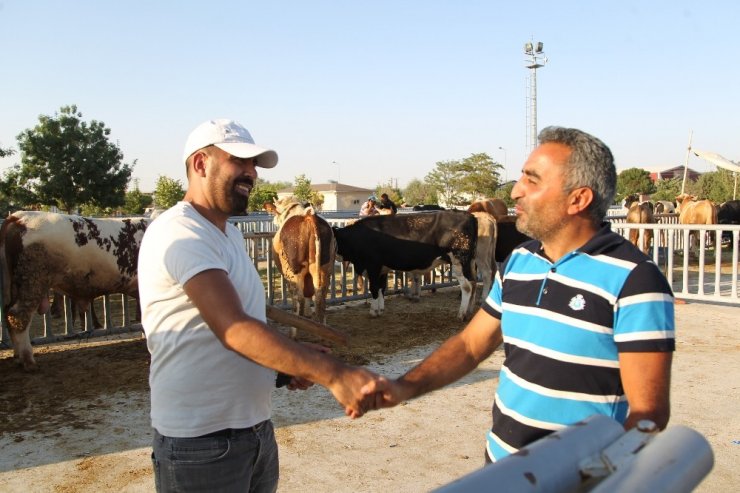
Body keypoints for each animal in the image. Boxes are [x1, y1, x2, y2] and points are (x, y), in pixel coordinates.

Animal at [0, 210, 149, 368]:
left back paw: (18, 356)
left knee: (8, 314)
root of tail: (19, 217)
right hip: (32, 282)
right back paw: (28, 360)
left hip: (15, 286)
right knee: (18, 315)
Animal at [264, 196, 336, 334]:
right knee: (320, 298)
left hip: (293, 271)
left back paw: (294, 332)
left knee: (299, 299)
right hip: (324, 268)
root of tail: (308, 216)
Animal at [330, 210, 480, 320]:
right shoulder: (382, 269)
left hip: (459, 261)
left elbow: (374, 288)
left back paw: (461, 314)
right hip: (470, 262)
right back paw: (469, 312)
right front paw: (380, 309)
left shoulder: (373, 266)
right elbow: (381, 288)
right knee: (473, 283)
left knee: (467, 286)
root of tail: (469, 215)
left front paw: (373, 311)